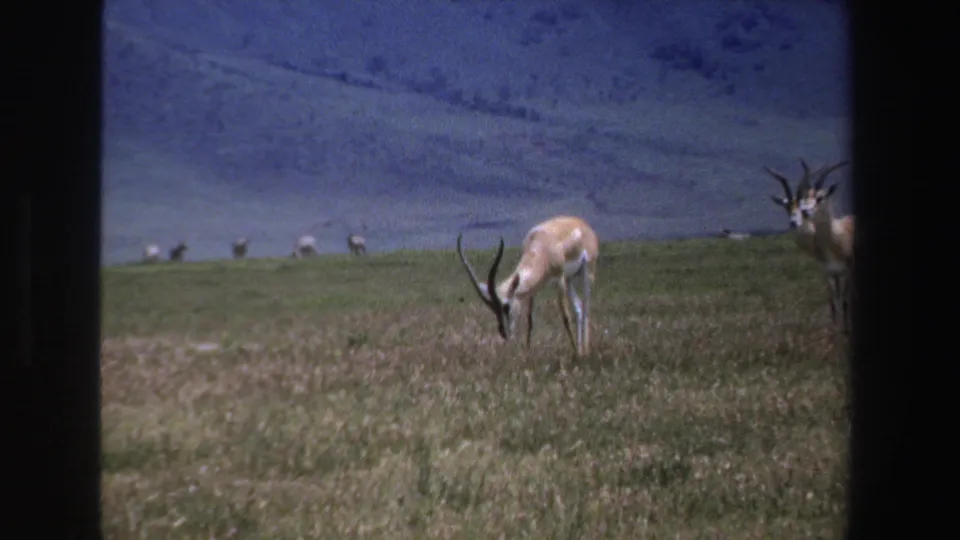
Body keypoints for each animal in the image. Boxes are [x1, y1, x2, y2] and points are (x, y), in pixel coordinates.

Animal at [456, 215, 599, 358]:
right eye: (493, 310)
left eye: (506, 307)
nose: (504, 333)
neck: (542, 245)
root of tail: (582, 224)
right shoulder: (533, 289)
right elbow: (530, 320)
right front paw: (527, 351)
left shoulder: (560, 279)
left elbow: (566, 317)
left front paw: (574, 352)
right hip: (569, 280)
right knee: (578, 308)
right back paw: (581, 350)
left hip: (587, 273)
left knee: (586, 307)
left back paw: (585, 351)